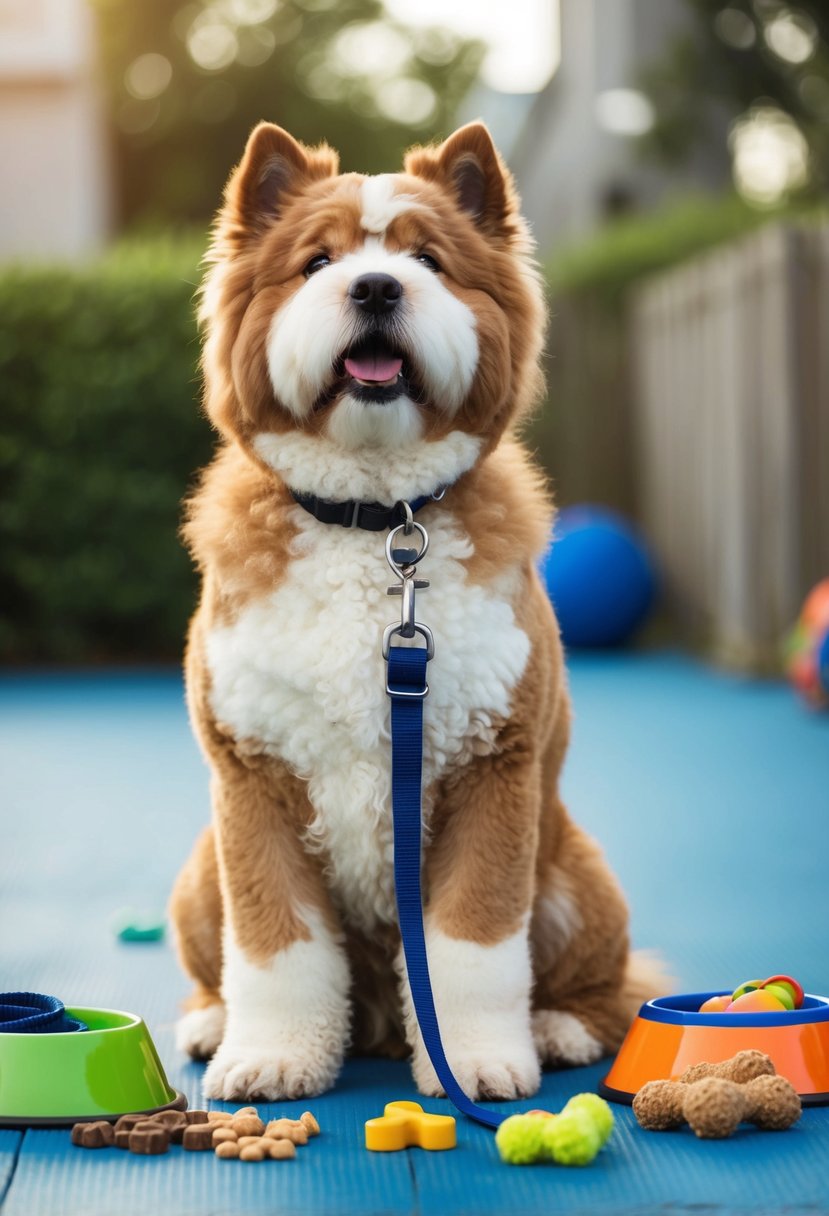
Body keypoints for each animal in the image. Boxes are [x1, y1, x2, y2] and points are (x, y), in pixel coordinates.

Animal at [168, 120, 666, 1104]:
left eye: (427, 259)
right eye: (317, 260)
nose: (374, 286)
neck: (373, 522)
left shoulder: (490, 771)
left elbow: (471, 946)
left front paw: (471, 1061)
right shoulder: (254, 782)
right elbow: (276, 945)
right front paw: (275, 1054)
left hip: (574, 877)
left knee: (614, 984)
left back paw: (557, 1027)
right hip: (201, 872)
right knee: (223, 961)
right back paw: (212, 1020)